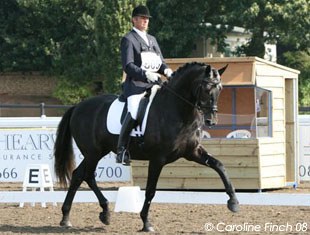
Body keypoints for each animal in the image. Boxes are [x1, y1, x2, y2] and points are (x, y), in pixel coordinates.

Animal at [54, 61, 240, 232]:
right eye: (207, 88)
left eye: (220, 88)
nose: (211, 121)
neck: (177, 110)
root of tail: (78, 106)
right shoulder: (158, 159)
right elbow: (150, 190)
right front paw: (146, 223)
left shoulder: (192, 152)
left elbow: (219, 166)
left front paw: (233, 202)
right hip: (93, 152)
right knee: (88, 175)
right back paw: (103, 211)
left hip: (97, 152)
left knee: (78, 175)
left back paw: (67, 217)